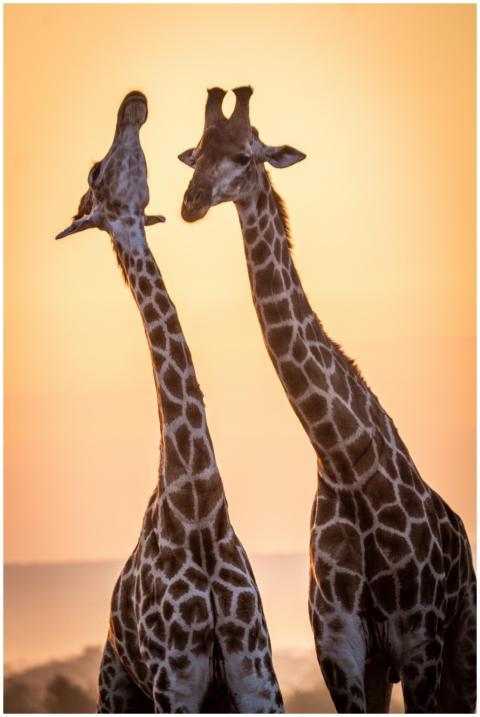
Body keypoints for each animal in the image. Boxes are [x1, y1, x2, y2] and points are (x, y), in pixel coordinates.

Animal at [56, 90, 284, 714]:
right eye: (95, 172)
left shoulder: (257, 680)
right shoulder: (174, 683)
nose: (131, 104)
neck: (200, 511)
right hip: (118, 690)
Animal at [178, 86, 476, 713]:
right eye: (198, 151)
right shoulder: (340, 648)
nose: (191, 202)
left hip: (461, 646)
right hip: (383, 668)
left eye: (244, 155)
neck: (345, 462)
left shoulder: (420, 645)